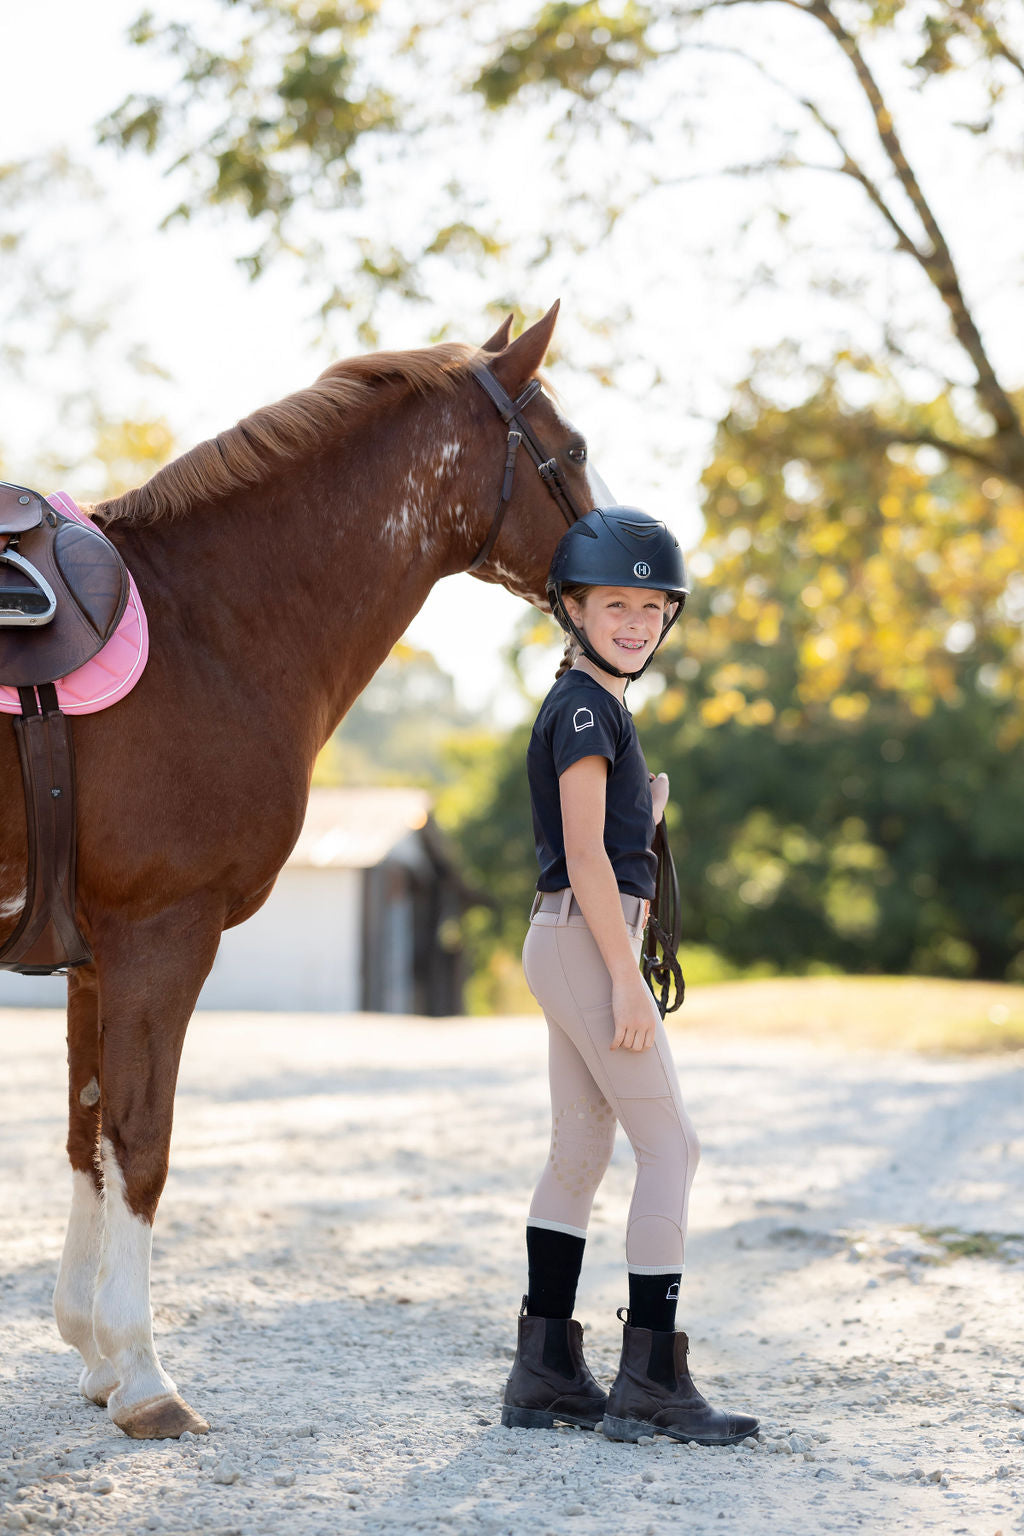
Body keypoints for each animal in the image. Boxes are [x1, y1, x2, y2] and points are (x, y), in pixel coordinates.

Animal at [0, 302, 604, 1439]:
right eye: (577, 450)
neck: (204, 625)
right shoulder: (162, 937)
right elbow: (142, 1140)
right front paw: (145, 1376)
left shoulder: (93, 961)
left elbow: (86, 1136)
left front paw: (95, 1353)